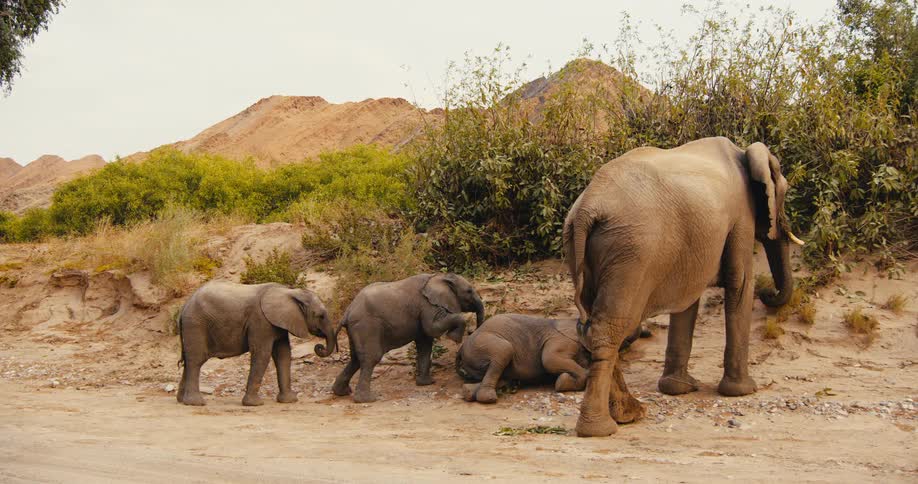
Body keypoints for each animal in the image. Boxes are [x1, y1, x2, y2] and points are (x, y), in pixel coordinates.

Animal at [176, 281, 335, 406]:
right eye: (321, 316)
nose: (319, 347)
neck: (290, 291)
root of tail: (184, 306)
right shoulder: (261, 321)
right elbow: (262, 354)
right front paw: (255, 404)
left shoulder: (278, 323)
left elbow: (283, 355)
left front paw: (290, 400)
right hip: (196, 324)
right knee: (196, 360)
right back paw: (196, 403)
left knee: (190, 361)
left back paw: (182, 401)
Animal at [331, 273, 485, 403]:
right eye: (469, 291)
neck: (440, 277)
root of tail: (347, 312)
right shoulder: (427, 305)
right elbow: (432, 329)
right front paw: (454, 337)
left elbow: (425, 344)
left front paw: (426, 383)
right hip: (366, 326)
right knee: (371, 358)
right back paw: (367, 400)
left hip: (356, 329)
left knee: (356, 359)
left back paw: (341, 392)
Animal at [457, 314, 650, 403]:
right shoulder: (564, 339)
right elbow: (549, 360)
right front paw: (562, 383)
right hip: (483, 343)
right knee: (503, 352)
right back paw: (488, 398)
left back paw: (469, 392)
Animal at [563, 137, 803, 437]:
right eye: (784, 192)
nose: (768, 292)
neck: (745, 152)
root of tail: (586, 209)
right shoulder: (741, 215)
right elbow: (740, 283)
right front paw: (743, 391)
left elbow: (688, 297)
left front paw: (678, 388)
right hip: (632, 252)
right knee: (611, 327)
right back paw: (600, 429)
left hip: (581, 247)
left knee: (589, 327)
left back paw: (630, 415)